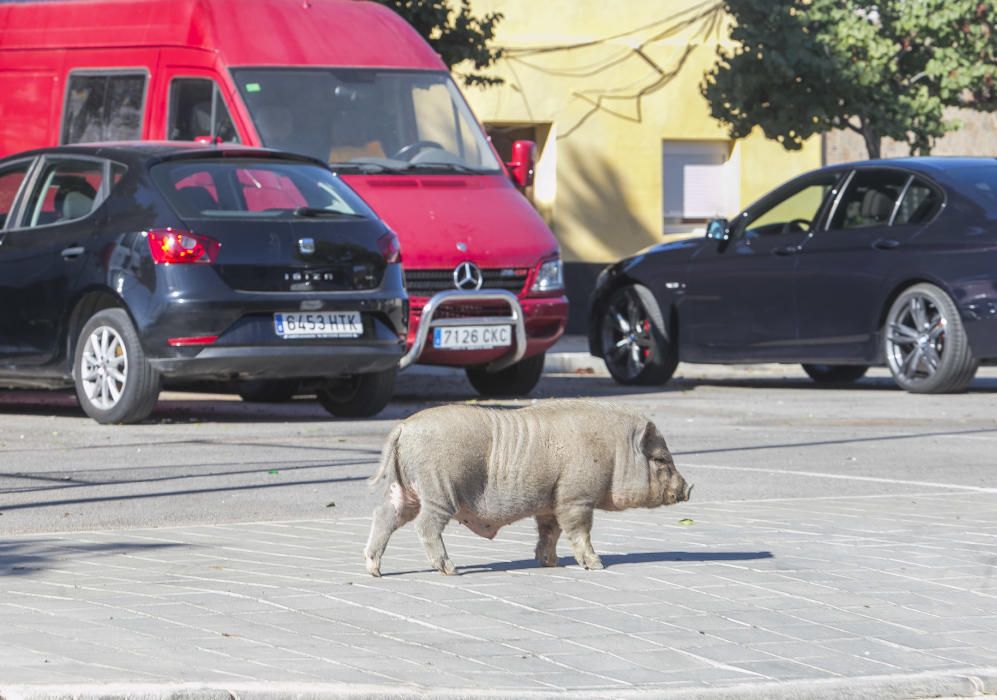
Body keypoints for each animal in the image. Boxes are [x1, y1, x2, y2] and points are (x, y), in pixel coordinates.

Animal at [362, 396, 688, 576]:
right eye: (660, 459)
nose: (687, 489)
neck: (615, 449)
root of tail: (403, 427)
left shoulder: (550, 503)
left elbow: (550, 532)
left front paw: (550, 563)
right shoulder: (575, 497)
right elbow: (578, 531)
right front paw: (597, 566)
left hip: (405, 491)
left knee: (384, 515)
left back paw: (375, 571)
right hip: (439, 490)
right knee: (425, 526)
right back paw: (451, 570)